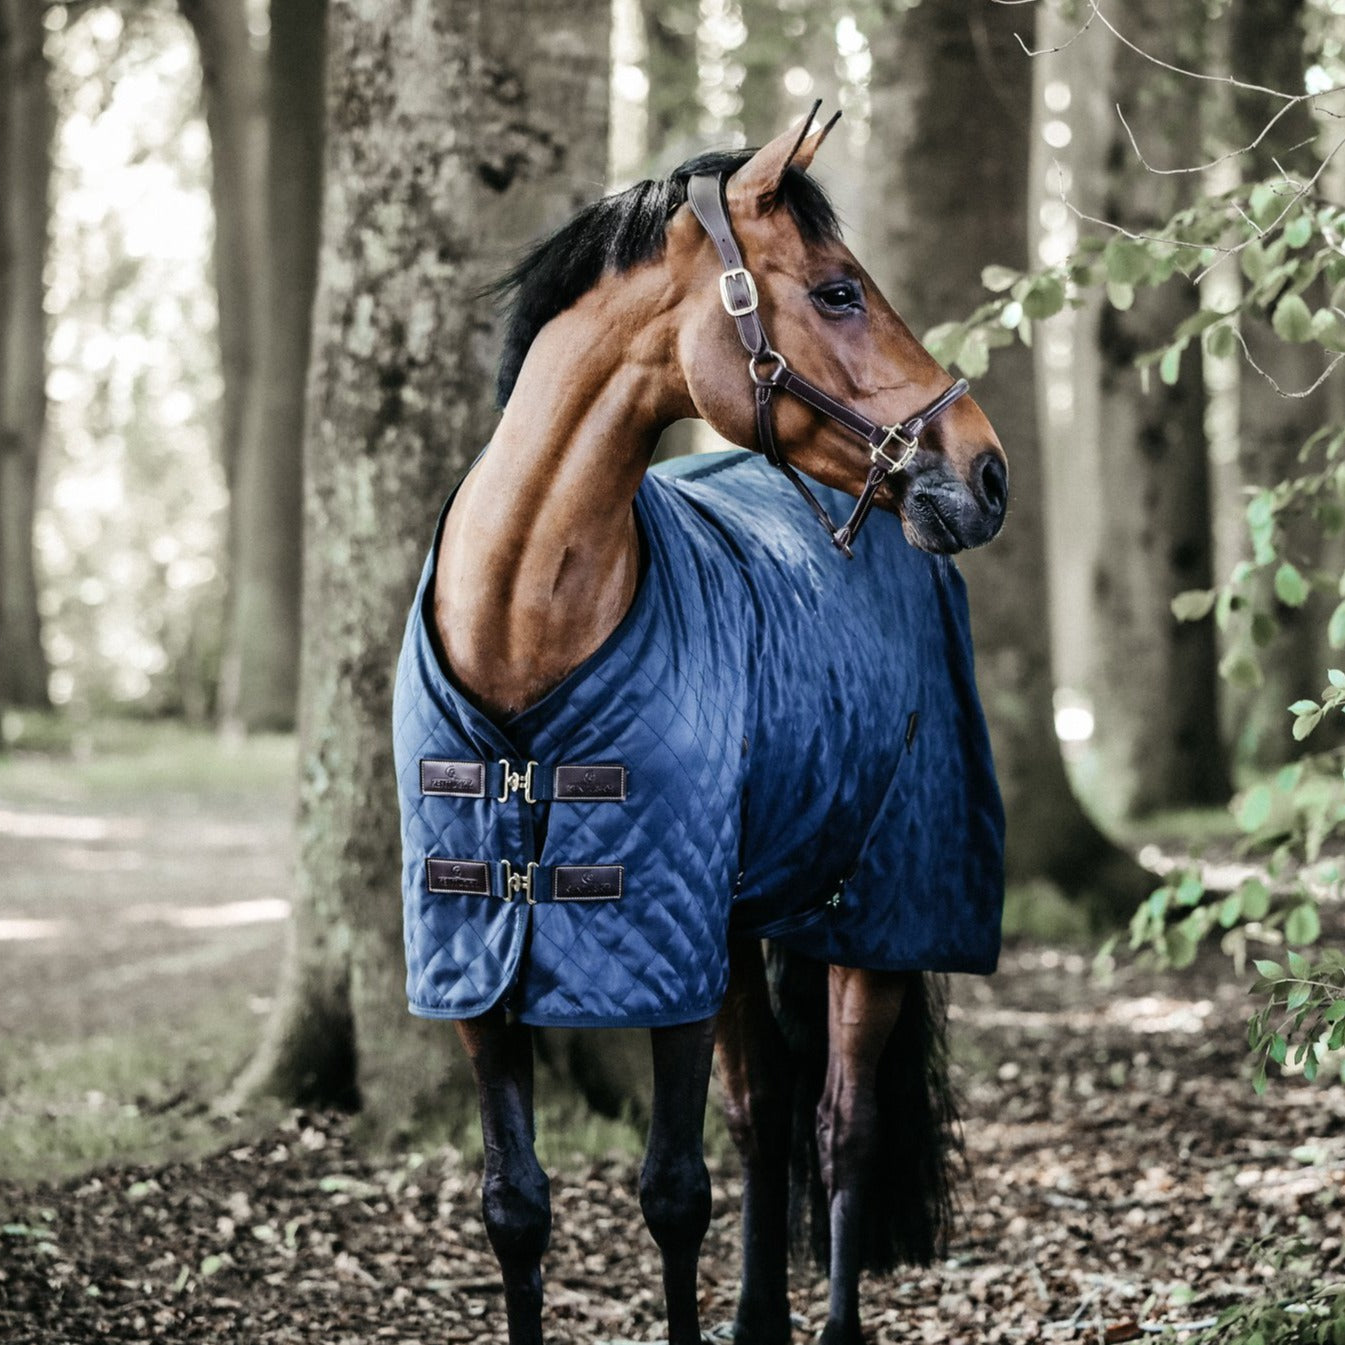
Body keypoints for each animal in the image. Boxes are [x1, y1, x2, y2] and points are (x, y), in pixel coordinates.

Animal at [392, 110, 1006, 1345]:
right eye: (836, 292)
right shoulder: (478, 960)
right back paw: (758, 1319)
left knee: (840, 1126)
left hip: (872, 918)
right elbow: (514, 1207)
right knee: (767, 1107)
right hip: (738, 919)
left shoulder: (664, 950)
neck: (521, 633)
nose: (984, 469)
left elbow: (673, 1193)